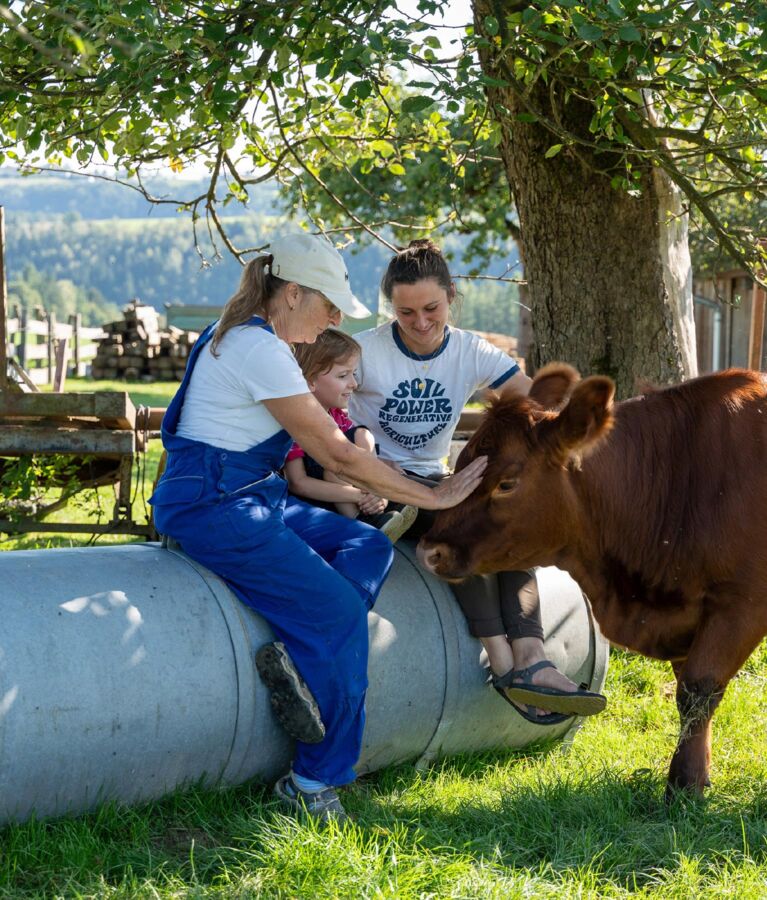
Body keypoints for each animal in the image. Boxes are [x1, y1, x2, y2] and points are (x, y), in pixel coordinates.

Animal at [416, 362, 767, 800]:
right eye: (459, 461)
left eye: (506, 483)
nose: (430, 551)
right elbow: (690, 692)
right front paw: (697, 778)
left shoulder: (741, 604)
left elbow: (697, 691)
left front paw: (682, 786)